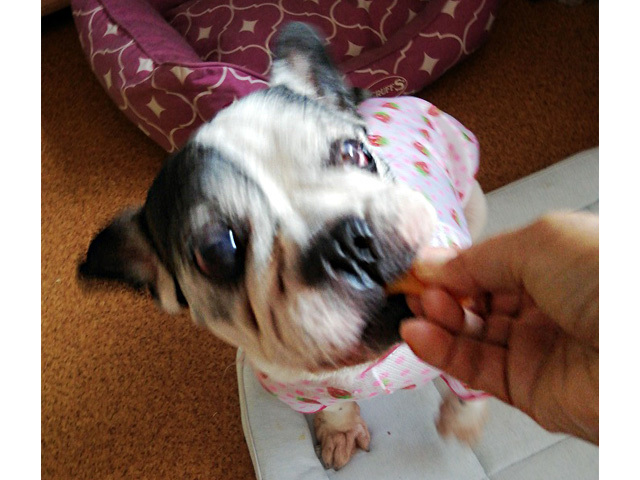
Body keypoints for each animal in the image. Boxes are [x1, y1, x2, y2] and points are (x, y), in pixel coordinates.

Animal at [79, 22, 489, 470]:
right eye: (217, 253)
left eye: (355, 153)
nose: (350, 243)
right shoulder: (308, 394)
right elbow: (336, 406)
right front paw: (340, 431)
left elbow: (472, 378)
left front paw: (464, 422)